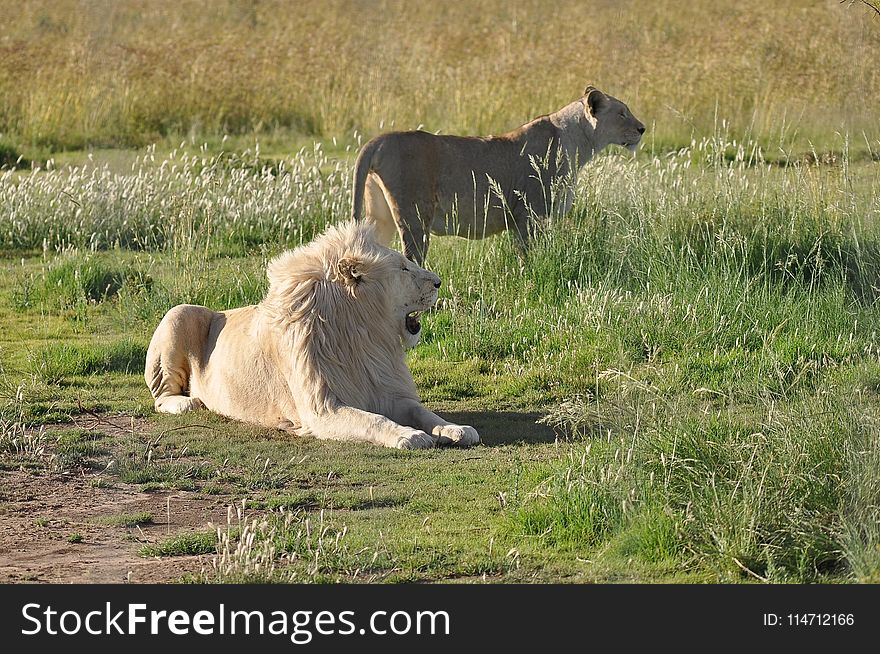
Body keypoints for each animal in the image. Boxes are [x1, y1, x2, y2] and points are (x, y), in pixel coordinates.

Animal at [144, 222, 478, 452]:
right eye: (404, 268)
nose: (438, 282)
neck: (365, 335)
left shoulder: (389, 392)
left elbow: (426, 413)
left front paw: (457, 429)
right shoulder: (323, 409)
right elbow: (375, 420)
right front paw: (409, 435)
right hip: (179, 313)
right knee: (161, 398)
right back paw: (189, 403)